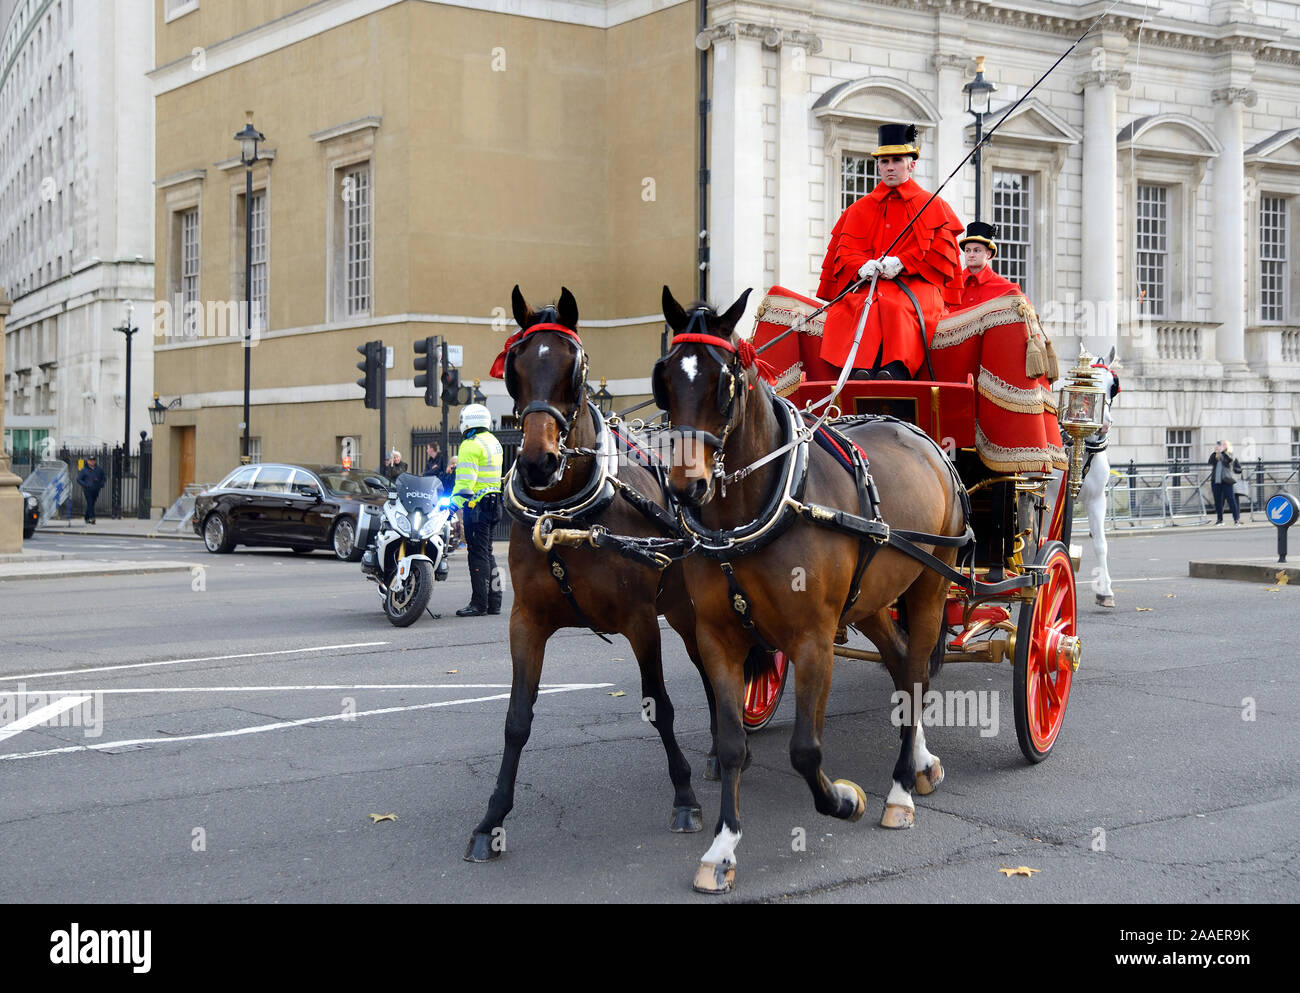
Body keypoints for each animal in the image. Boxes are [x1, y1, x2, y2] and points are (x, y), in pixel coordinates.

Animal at [462, 284, 717, 863]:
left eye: (574, 368)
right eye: (514, 367)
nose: (536, 462)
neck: (567, 517)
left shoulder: (641, 622)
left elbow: (659, 705)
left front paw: (685, 795)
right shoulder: (526, 622)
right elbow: (516, 719)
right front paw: (491, 818)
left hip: (689, 611)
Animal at [655, 284, 972, 894]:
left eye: (724, 383)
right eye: (666, 379)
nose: (687, 488)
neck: (763, 505)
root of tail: (921, 436)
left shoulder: (812, 639)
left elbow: (805, 751)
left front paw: (845, 800)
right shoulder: (717, 638)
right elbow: (731, 743)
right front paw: (722, 849)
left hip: (930, 584)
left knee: (918, 670)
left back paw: (900, 789)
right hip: (872, 600)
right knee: (903, 667)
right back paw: (919, 764)